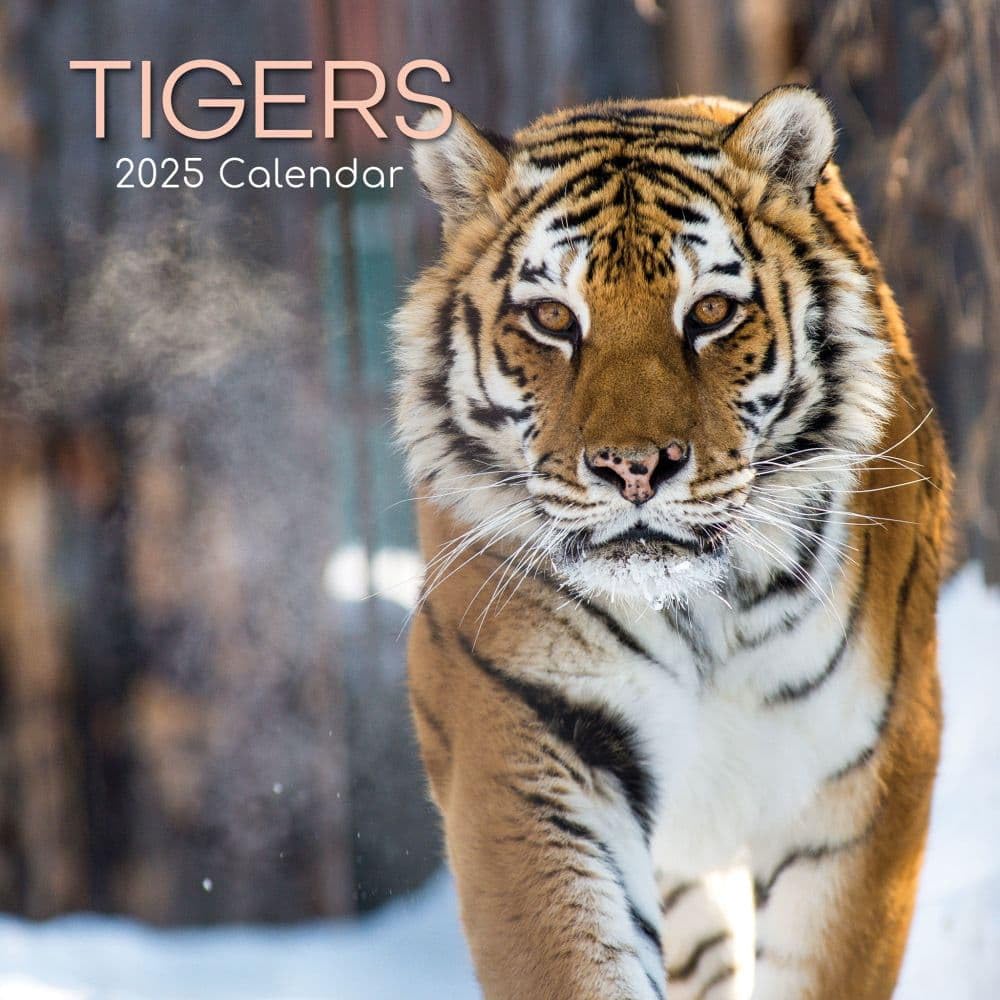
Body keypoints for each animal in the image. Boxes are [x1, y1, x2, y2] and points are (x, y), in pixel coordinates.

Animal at [392, 86, 952, 1000]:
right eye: (553, 318)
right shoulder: (530, 747)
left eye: (712, 313)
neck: (703, 612)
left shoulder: (864, 777)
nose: (635, 467)